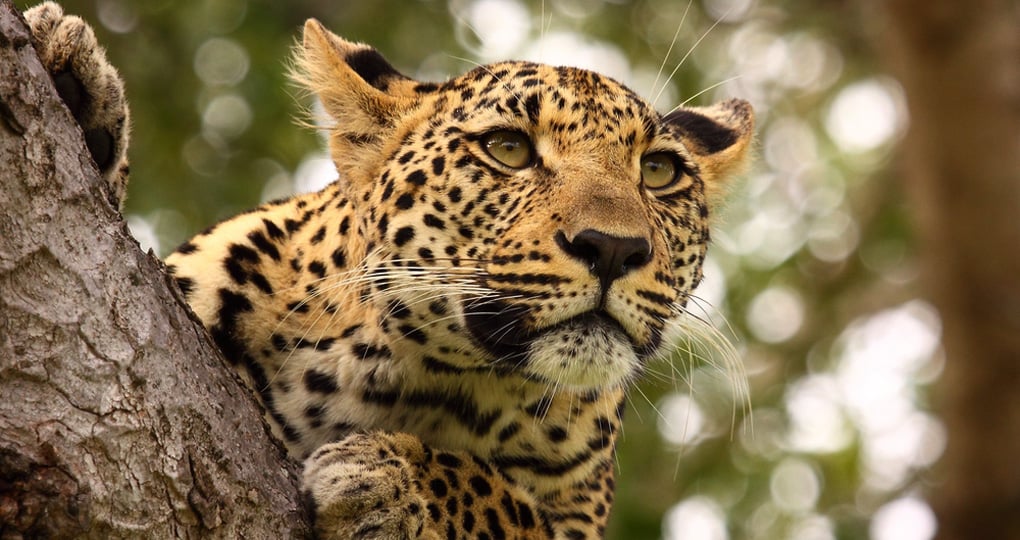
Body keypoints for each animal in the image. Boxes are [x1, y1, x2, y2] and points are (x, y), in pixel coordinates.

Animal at [24, 3, 754, 538]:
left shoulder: (576, 518)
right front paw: (72, 85)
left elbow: (501, 502)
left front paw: (390, 480)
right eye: (508, 149)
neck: (397, 373)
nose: (612, 248)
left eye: (658, 172)